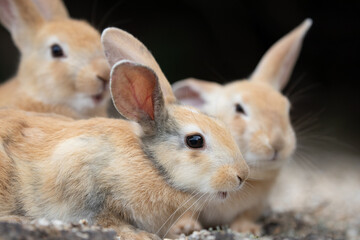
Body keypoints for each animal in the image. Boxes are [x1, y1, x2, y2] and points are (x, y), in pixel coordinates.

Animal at [0, 27, 249, 239]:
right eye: (195, 140)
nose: (241, 175)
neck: (151, 163)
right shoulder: (82, 180)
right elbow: (106, 218)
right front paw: (140, 234)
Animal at [172, 19, 312, 236]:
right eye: (239, 108)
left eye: (287, 108)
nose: (278, 143)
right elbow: (186, 211)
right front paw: (185, 228)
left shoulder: (257, 205)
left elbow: (246, 215)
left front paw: (247, 229)